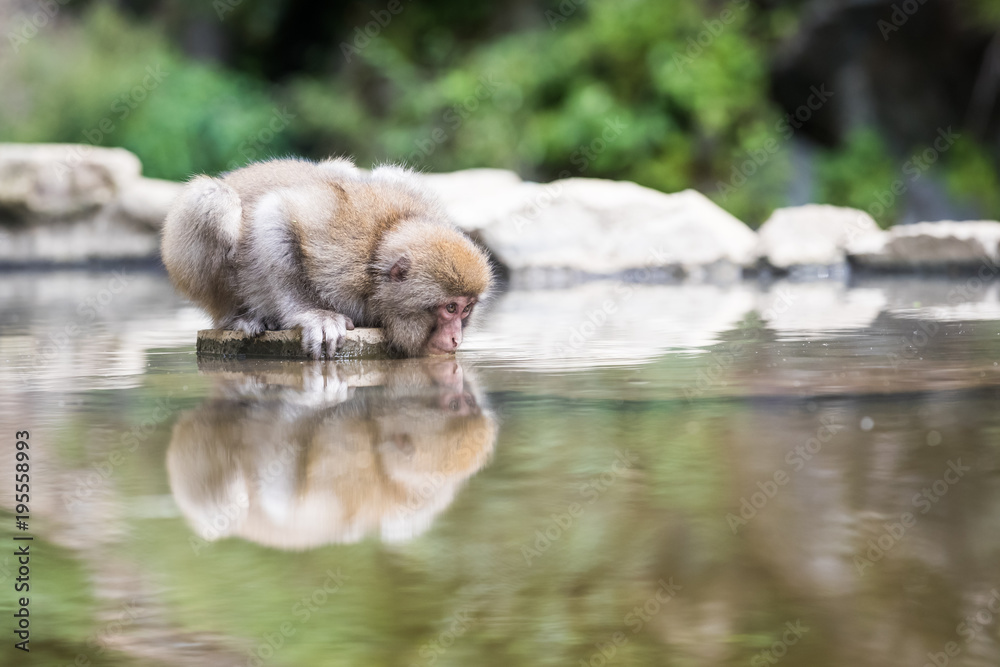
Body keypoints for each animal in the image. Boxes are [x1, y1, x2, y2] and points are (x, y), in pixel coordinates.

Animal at [158, 157, 494, 358]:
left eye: (466, 309)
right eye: (450, 308)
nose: (456, 339)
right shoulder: (342, 249)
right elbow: (275, 213)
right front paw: (314, 315)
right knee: (213, 200)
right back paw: (239, 316)